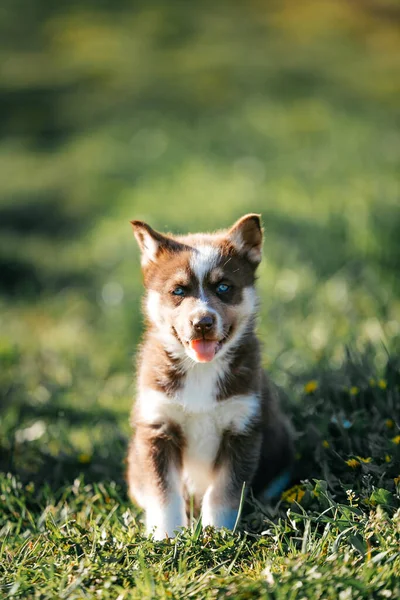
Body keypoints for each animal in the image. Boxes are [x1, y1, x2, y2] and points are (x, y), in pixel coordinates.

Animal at [126, 214, 292, 540]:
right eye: (178, 291)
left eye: (224, 287)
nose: (202, 322)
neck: (200, 370)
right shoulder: (157, 428)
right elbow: (164, 494)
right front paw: (166, 536)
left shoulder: (242, 428)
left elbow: (223, 493)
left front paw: (218, 536)